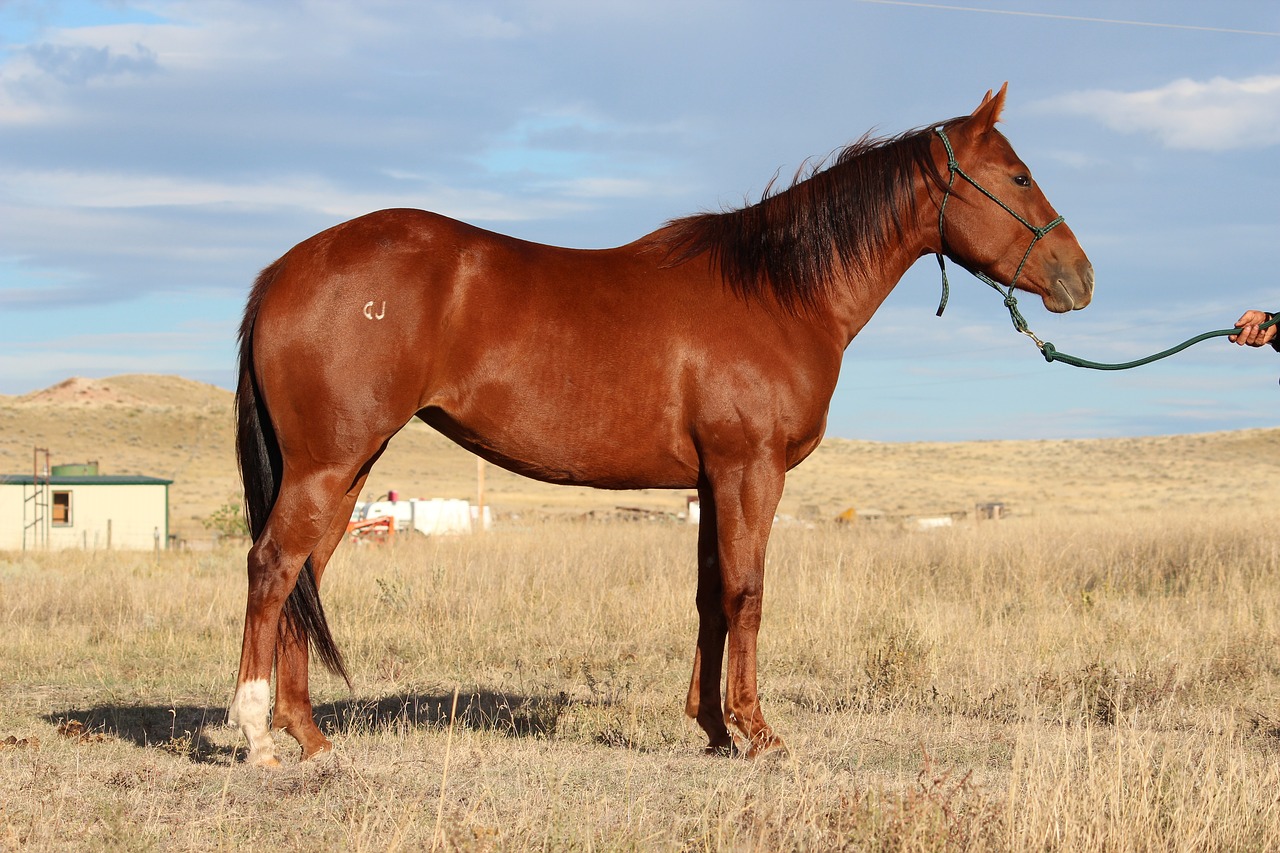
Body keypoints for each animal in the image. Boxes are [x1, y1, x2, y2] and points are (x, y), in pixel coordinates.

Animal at [227, 84, 1090, 763]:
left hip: (350, 467)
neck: (777, 291)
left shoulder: (710, 479)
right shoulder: (750, 469)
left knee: (305, 576)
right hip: (327, 464)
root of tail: (284, 269)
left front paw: (712, 726)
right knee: (272, 567)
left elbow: (711, 595)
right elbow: (747, 590)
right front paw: (758, 732)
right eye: (1018, 175)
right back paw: (259, 733)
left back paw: (309, 734)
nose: (1079, 278)